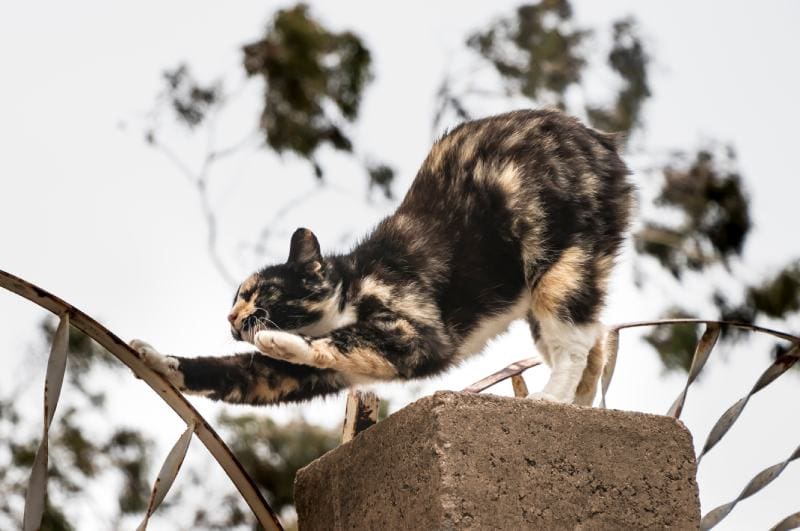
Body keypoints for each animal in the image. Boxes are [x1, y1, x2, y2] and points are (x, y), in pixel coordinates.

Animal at [131, 108, 632, 408]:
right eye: (236, 297)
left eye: (261, 293)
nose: (232, 316)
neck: (349, 294)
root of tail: (601, 140)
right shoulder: (297, 376)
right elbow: (232, 373)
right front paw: (158, 361)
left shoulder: (420, 336)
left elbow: (334, 341)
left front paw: (279, 339)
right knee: (594, 341)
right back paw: (579, 404)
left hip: (558, 266)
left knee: (573, 344)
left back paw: (551, 399)